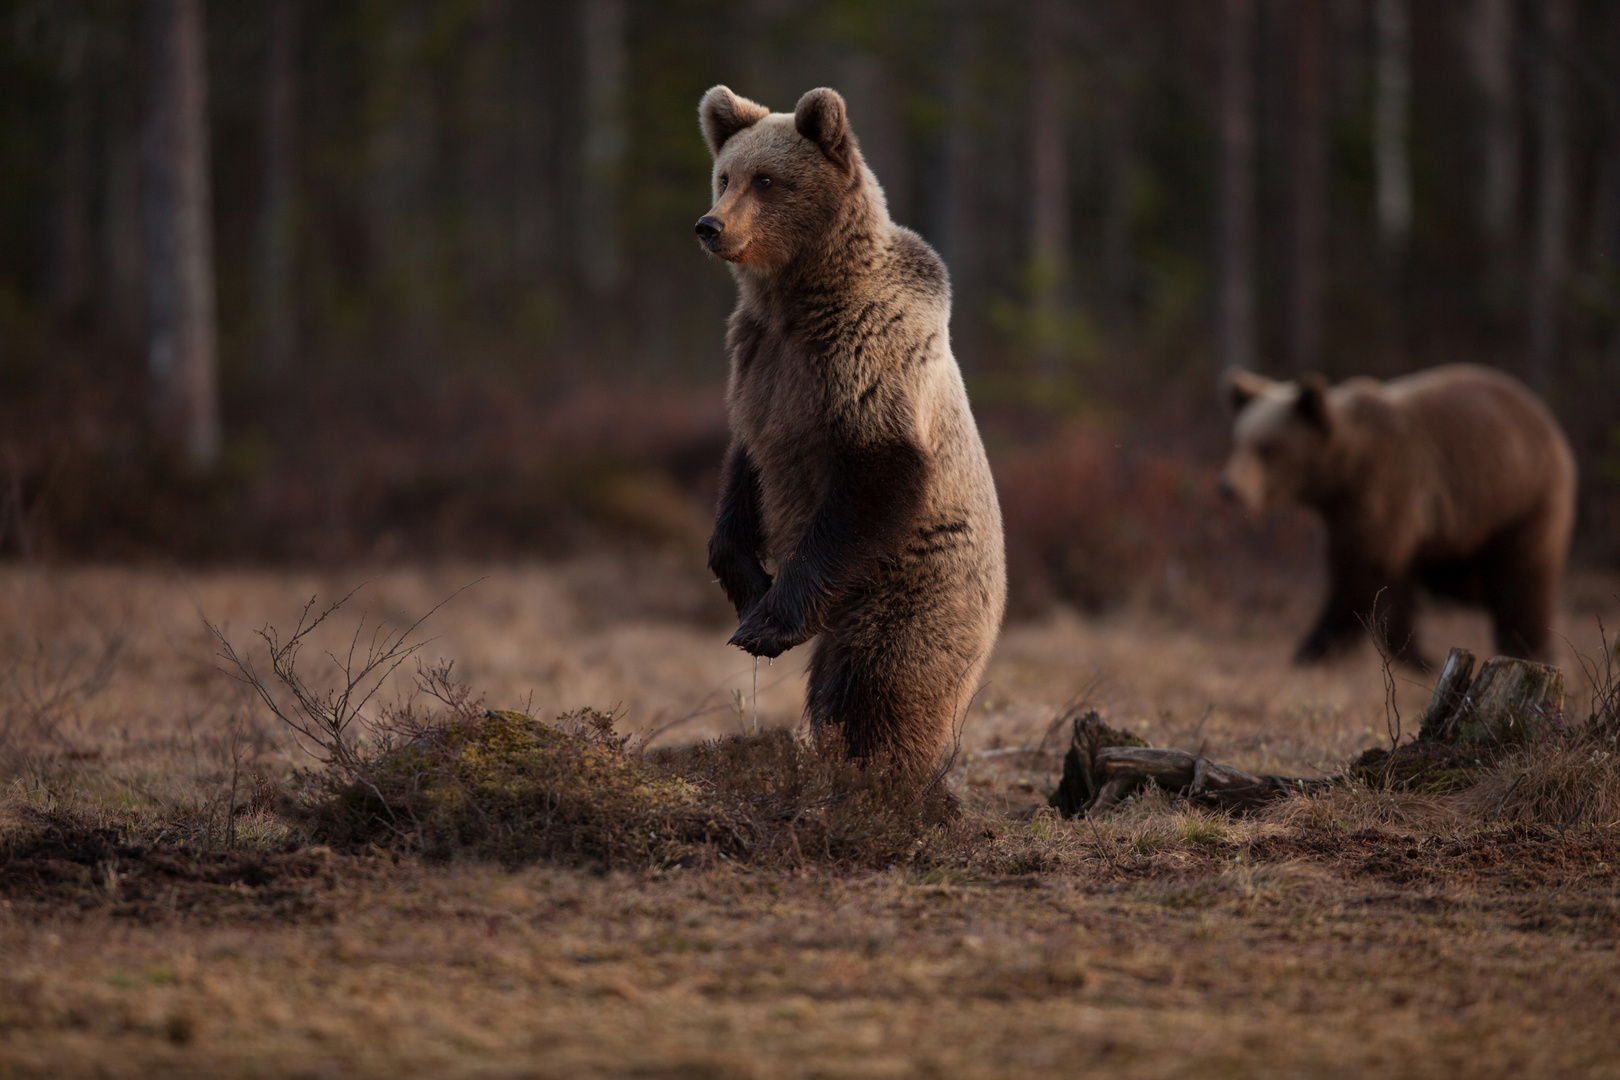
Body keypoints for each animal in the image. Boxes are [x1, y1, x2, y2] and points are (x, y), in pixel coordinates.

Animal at [693, 86, 1004, 777]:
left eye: (768, 179)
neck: (799, 299)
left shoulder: (865, 358)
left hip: (911, 587)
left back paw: (886, 779)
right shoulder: (756, 365)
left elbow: (877, 471)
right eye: (725, 175)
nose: (710, 225)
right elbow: (741, 475)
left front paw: (767, 626)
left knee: (881, 687)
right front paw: (749, 592)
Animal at [1218, 365, 1574, 667]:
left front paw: (1313, 649)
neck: (1342, 471)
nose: (1228, 488)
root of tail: (1548, 421)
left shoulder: (1386, 489)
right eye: (1238, 441)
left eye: (1267, 447)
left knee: (1522, 578)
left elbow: (1361, 573)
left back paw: (1529, 648)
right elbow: (1385, 584)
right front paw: (1413, 654)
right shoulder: (1355, 513)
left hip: (1520, 500)